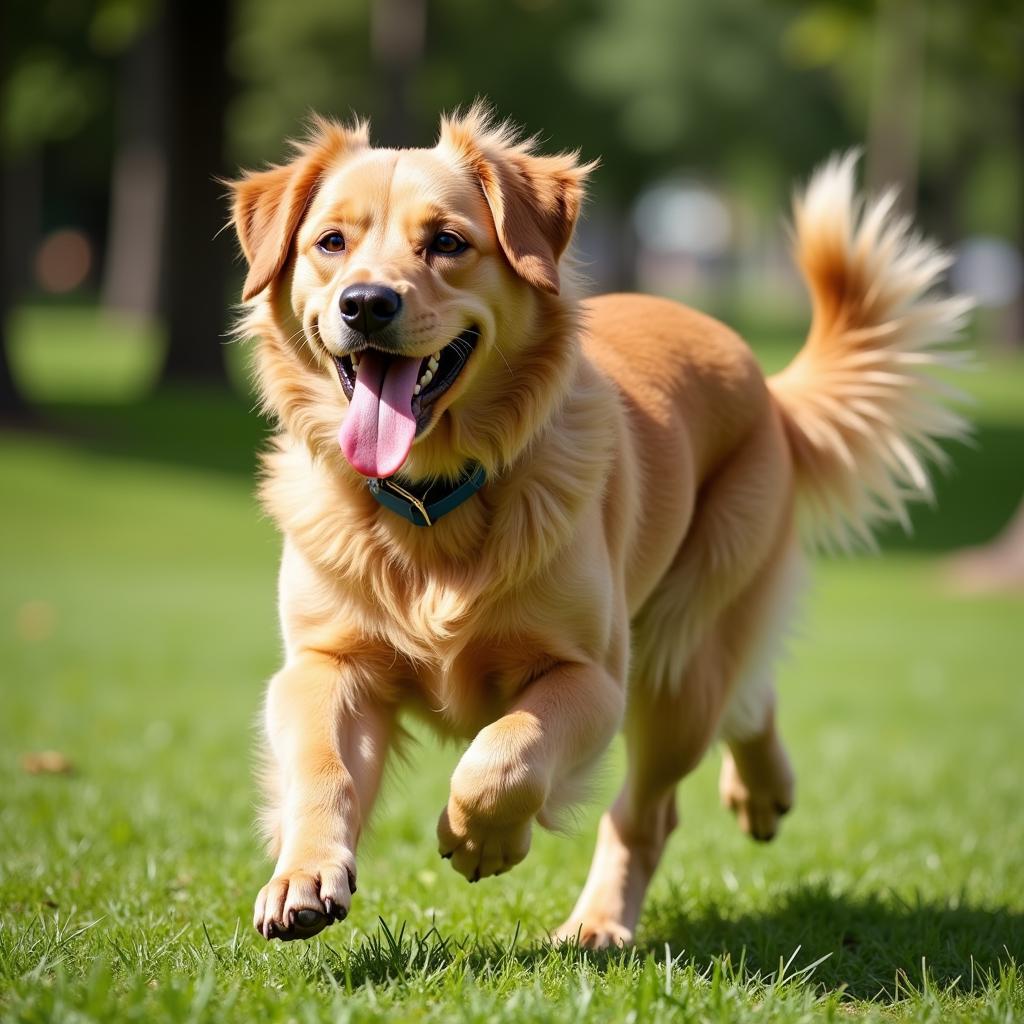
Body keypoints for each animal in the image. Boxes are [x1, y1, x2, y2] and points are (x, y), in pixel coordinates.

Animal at [230, 103, 966, 942]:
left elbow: (504, 753)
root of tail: (768, 386)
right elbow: (322, 767)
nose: (365, 304)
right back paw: (761, 793)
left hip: (677, 662)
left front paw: (479, 838)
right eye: (330, 243)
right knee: (748, 698)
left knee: (655, 801)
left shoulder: (591, 676)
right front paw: (303, 876)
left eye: (447, 242)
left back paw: (602, 919)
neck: (432, 499)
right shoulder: (324, 662)